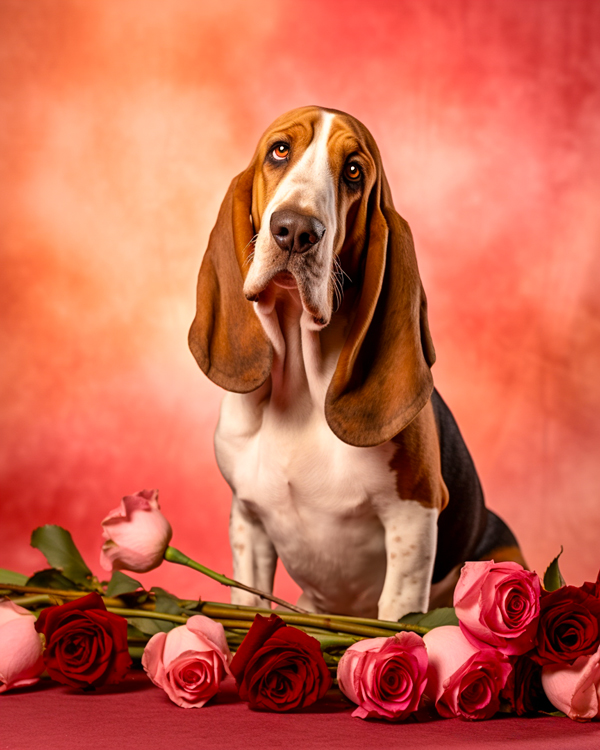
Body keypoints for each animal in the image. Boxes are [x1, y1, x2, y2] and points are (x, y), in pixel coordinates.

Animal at [189, 106, 524, 624]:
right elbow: (249, 598)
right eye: (279, 150)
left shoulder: (413, 518)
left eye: (353, 172)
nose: (296, 231)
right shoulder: (248, 522)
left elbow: (397, 614)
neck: (301, 388)